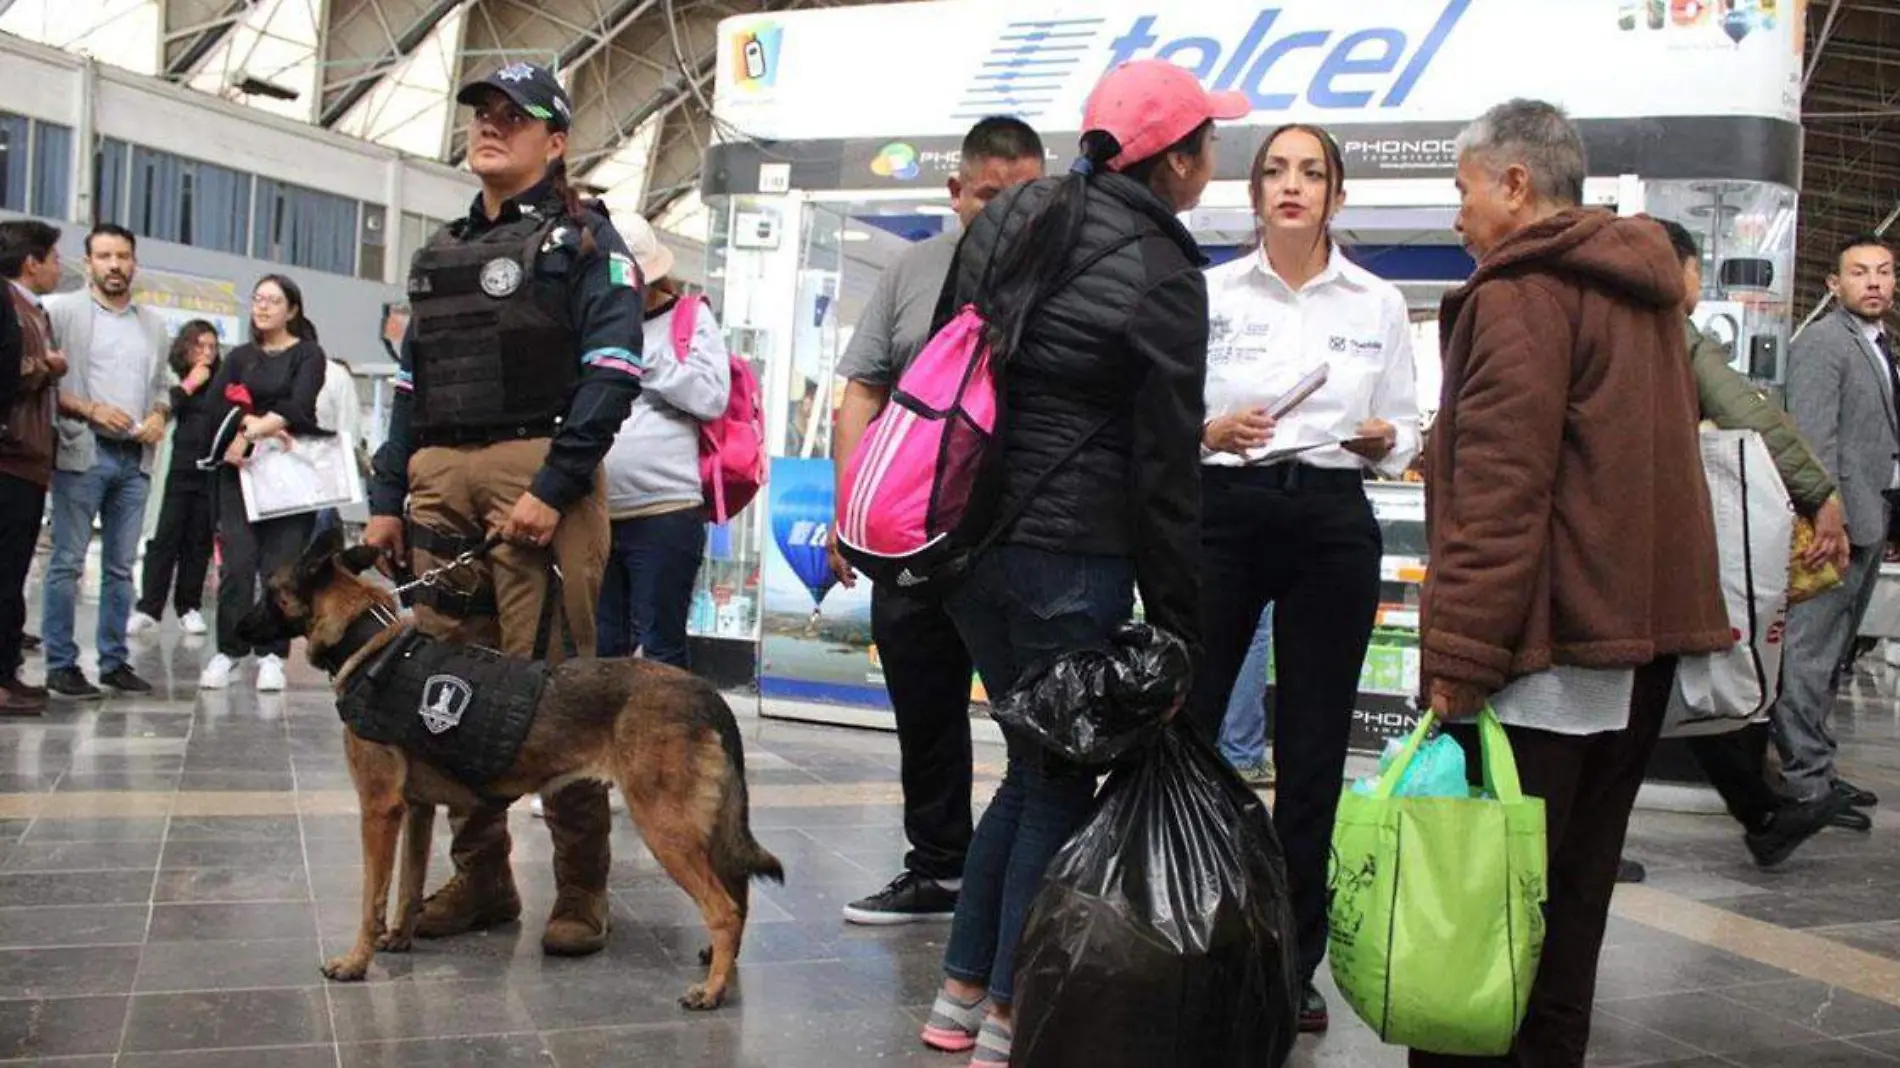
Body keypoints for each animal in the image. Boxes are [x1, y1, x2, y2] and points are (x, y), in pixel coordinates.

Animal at [237, 528, 786, 1010]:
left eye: (269, 591)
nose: (236, 629)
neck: (370, 640)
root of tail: (706, 692)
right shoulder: (416, 811)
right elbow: (409, 886)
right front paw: (399, 937)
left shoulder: (379, 811)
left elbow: (372, 896)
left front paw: (356, 961)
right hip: (700, 826)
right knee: (738, 890)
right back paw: (722, 968)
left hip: (666, 827)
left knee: (724, 908)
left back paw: (711, 992)